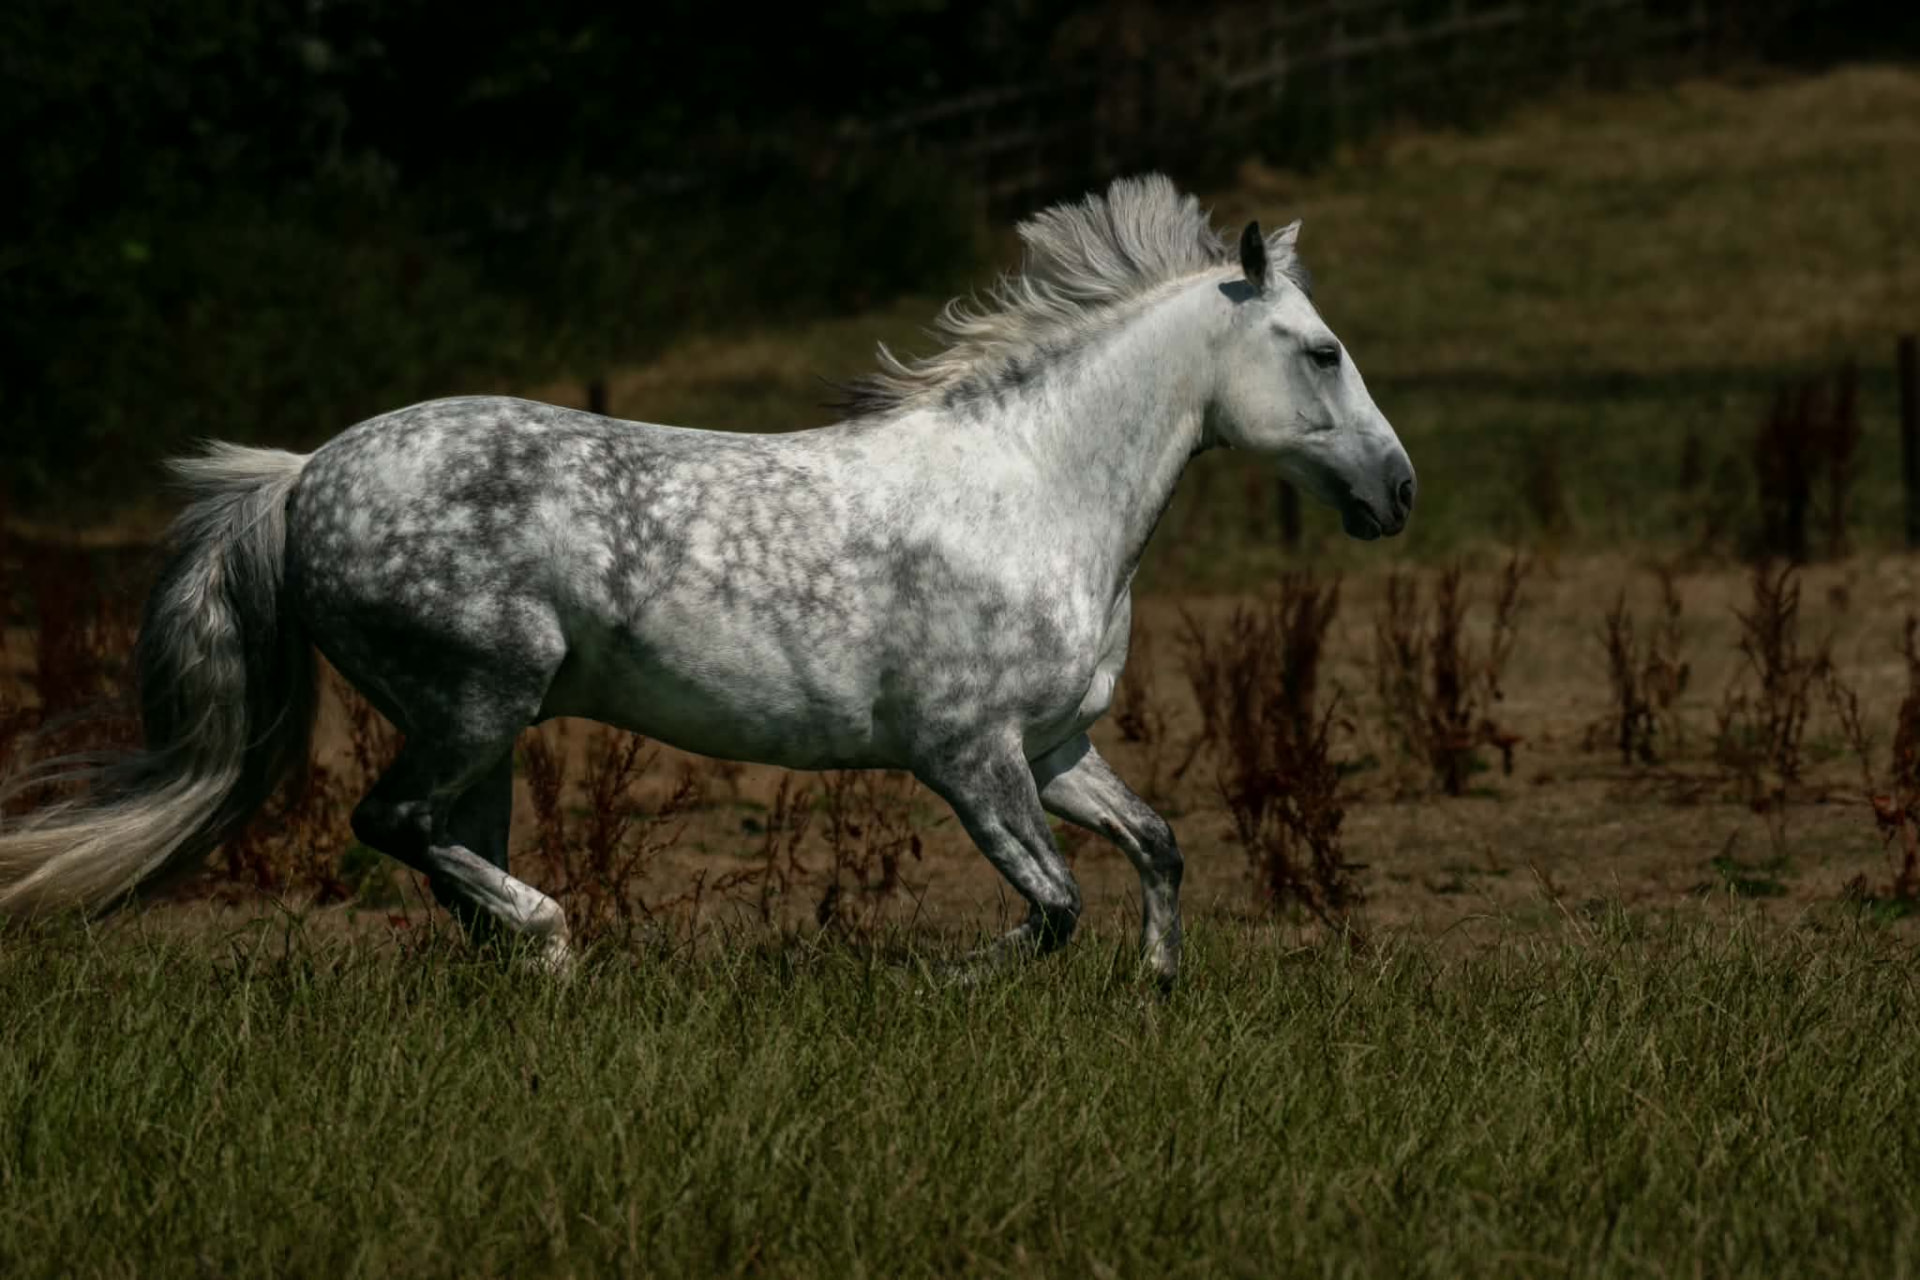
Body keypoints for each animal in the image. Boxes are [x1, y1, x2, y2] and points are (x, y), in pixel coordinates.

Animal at [0, 173, 1414, 985]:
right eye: (1323, 351)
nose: (1397, 492)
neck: (1031, 491)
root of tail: (300, 475)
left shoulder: (1054, 745)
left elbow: (1158, 849)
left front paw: (1159, 997)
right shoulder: (967, 754)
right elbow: (1056, 907)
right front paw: (938, 989)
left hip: (485, 727)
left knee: (444, 853)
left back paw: (535, 973)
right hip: (474, 695)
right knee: (394, 825)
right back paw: (555, 937)